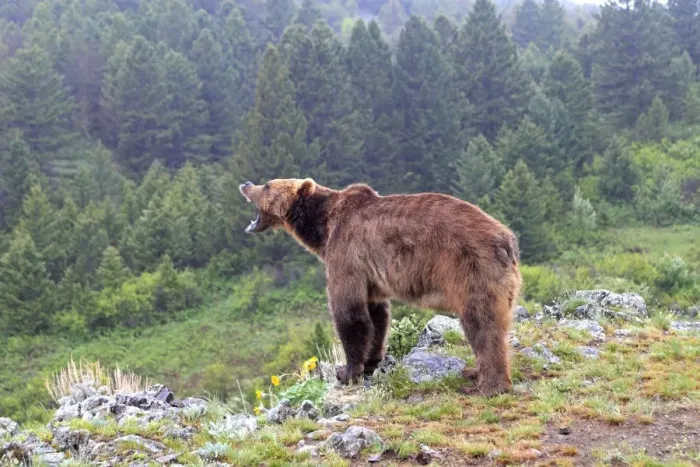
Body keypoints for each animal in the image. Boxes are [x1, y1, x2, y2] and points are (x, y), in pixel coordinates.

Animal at [239, 178, 522, 396]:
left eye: (267, 184)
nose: (246, 183)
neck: (322, 227)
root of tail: (506, 238)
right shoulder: (371, 277)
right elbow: (377, 315)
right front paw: (371, 361)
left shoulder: (346, 251)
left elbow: (349, 312)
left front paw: (346, 371)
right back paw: (474, 372)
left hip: (471, 269)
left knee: (481, 324)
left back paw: (488, 386)